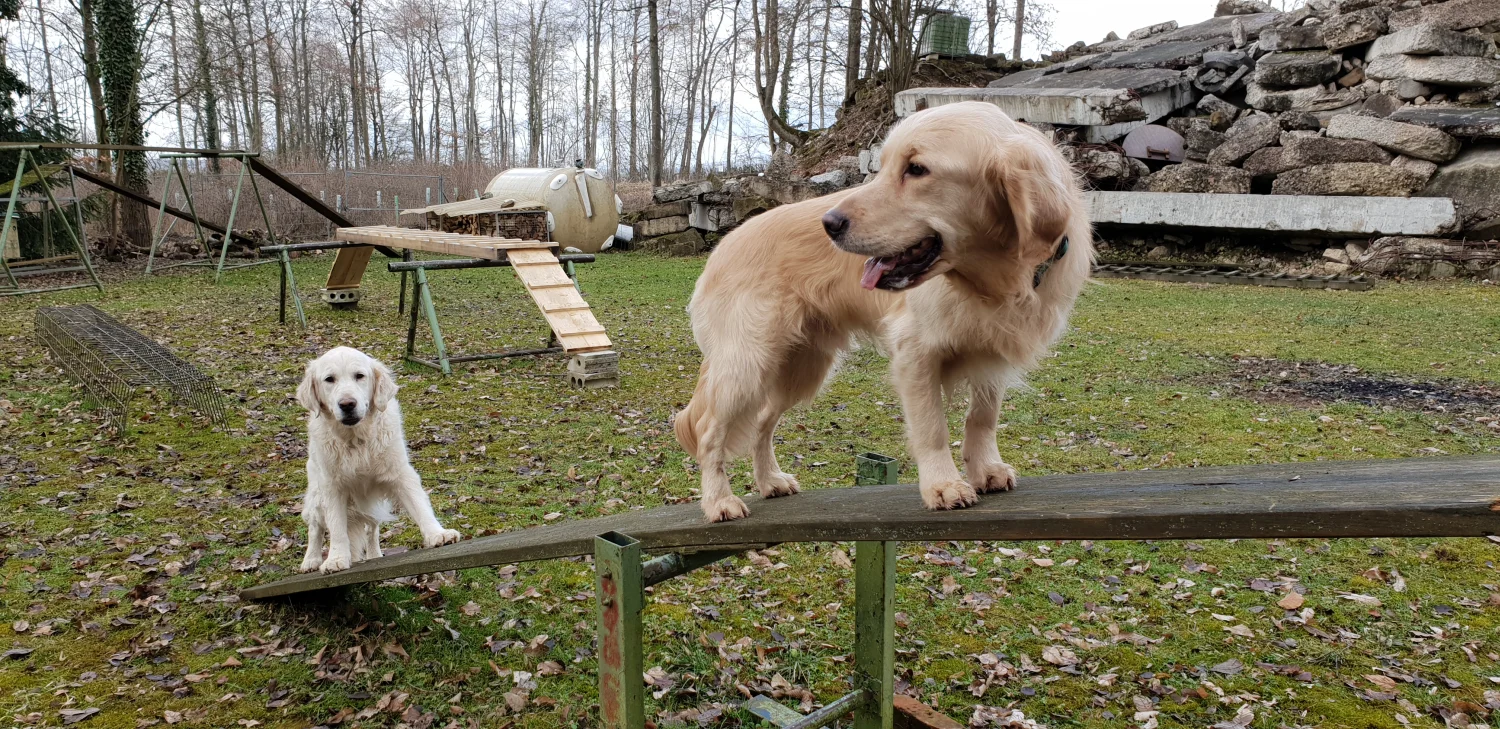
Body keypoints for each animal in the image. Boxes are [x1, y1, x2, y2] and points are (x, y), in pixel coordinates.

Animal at [292, 345, 456, 573]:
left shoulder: (400, 474)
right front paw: (336, 558)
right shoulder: (332, 487)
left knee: (372, 529)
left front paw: (437, 534)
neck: (356, 440)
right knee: (315, 528)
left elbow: (419, 505)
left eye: (359, 376)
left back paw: (374, 555)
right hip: (316, 497)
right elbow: (336, 527)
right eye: (329, 379)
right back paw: (311, 559)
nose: (347, 404)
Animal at [678, 104, 1092, 525]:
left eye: (917, 169)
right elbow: (932, 428)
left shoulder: (992, 354)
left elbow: (982, 418)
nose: (829, 223)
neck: (988, 281)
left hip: (800, 368)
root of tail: (721, 248)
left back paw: (770, 481)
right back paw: (719, 500)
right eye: (883, 166)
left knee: (762, 423)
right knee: (710, 433)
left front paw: (985, 469)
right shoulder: (915, 353)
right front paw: (943, 485)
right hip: (747, 364)